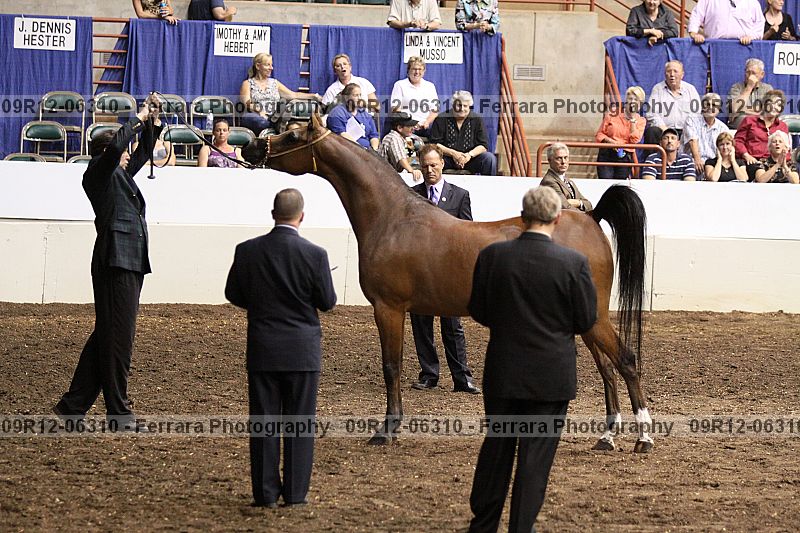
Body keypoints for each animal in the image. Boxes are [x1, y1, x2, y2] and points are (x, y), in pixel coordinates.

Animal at [242, 114, 654, 453]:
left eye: (293, 135)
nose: (250, 147)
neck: (393, 217)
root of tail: (590, 218)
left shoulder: (388, 309)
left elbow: (391, 366)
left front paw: (386, 430)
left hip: (595, 318)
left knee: (627, 361)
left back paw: (644, 438)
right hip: (585, 319)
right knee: (607, 369)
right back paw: (607, 437)